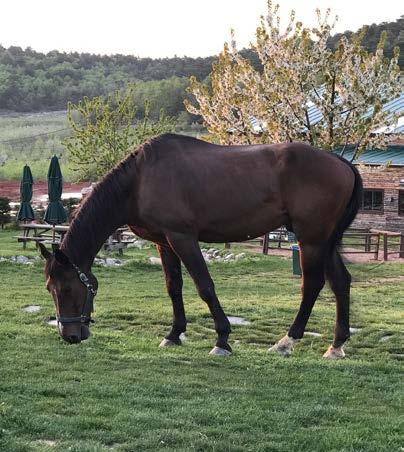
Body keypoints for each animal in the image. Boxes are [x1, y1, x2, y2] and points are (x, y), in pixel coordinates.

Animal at [39, 132, 362, 358]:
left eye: (66, 288)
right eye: (49, 289)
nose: (69, 334)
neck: (140, 180)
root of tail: (341, 163)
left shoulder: (182, 237)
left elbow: (204, 286)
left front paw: (222, 340)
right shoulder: (164, 242)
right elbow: (174, 287)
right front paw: (173, 335)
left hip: (311, 239)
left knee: (312, 285)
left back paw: (286, 341)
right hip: (326, 241)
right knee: (341, 282)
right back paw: (336, 346)